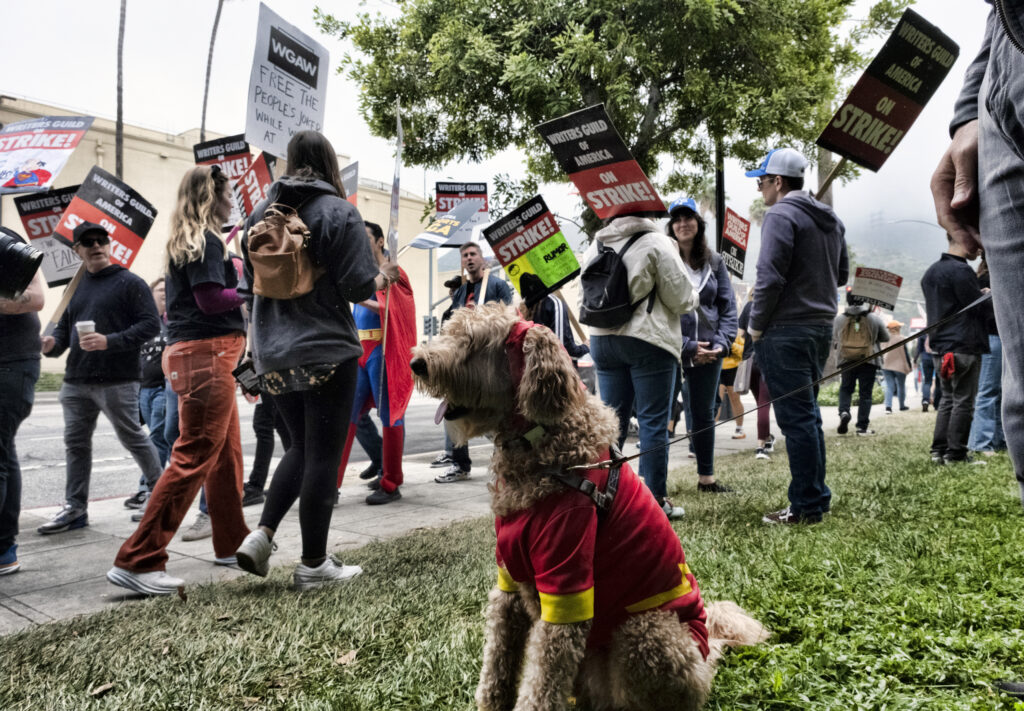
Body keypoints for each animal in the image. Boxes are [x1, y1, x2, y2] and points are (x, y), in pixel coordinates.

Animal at [409, 307, 770, 711]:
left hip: (648, 630)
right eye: (449, 330)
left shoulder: (567, 585)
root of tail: (705, 654)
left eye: (472, 342)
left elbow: (540, 687)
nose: (416, 363)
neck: (544, 453)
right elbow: (496, 667)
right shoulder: (509, 583)